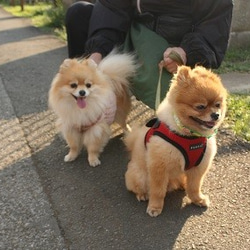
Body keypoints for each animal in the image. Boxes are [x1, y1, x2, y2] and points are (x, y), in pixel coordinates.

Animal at [124, 65, 228, 217]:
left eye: (218, 105)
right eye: (200, 106)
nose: (216, 115)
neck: (189, 135)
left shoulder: (199, 166)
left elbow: (195, 186)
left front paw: (197, 199)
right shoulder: (159, 166)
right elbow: (157, 191)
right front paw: (155, 207)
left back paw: (183, 186)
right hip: (140, 175)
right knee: (139, 186)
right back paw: (142, 194)